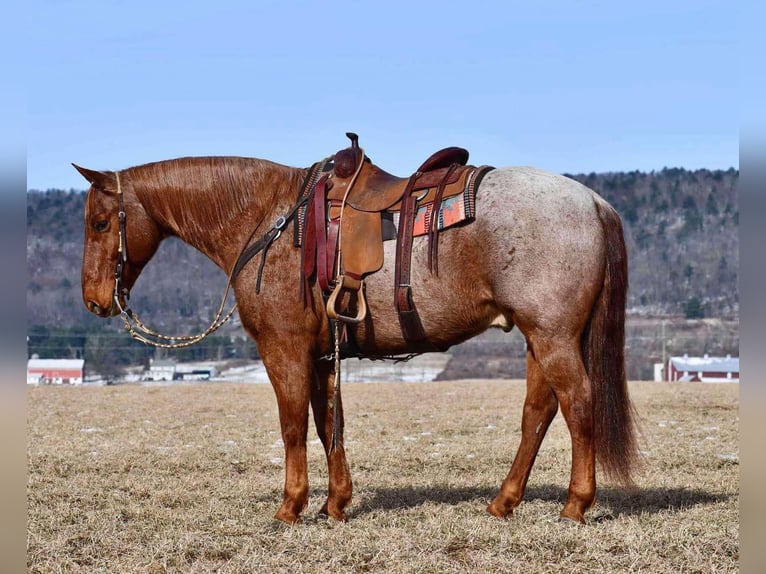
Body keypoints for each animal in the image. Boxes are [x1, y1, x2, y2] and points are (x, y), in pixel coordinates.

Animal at [75, 144, 640, 528]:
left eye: (101, 223)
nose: (95, 300)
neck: (269, 221)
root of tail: (593, 202)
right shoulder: (323, 354)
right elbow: (329, 422)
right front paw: (336, 503)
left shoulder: (283, 349)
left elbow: (293, 425)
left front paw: (291, 506)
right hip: (540, 336)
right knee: (538, 413)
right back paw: (503, 502)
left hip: (553, 336)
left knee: (578, 403)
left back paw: (575, 505)